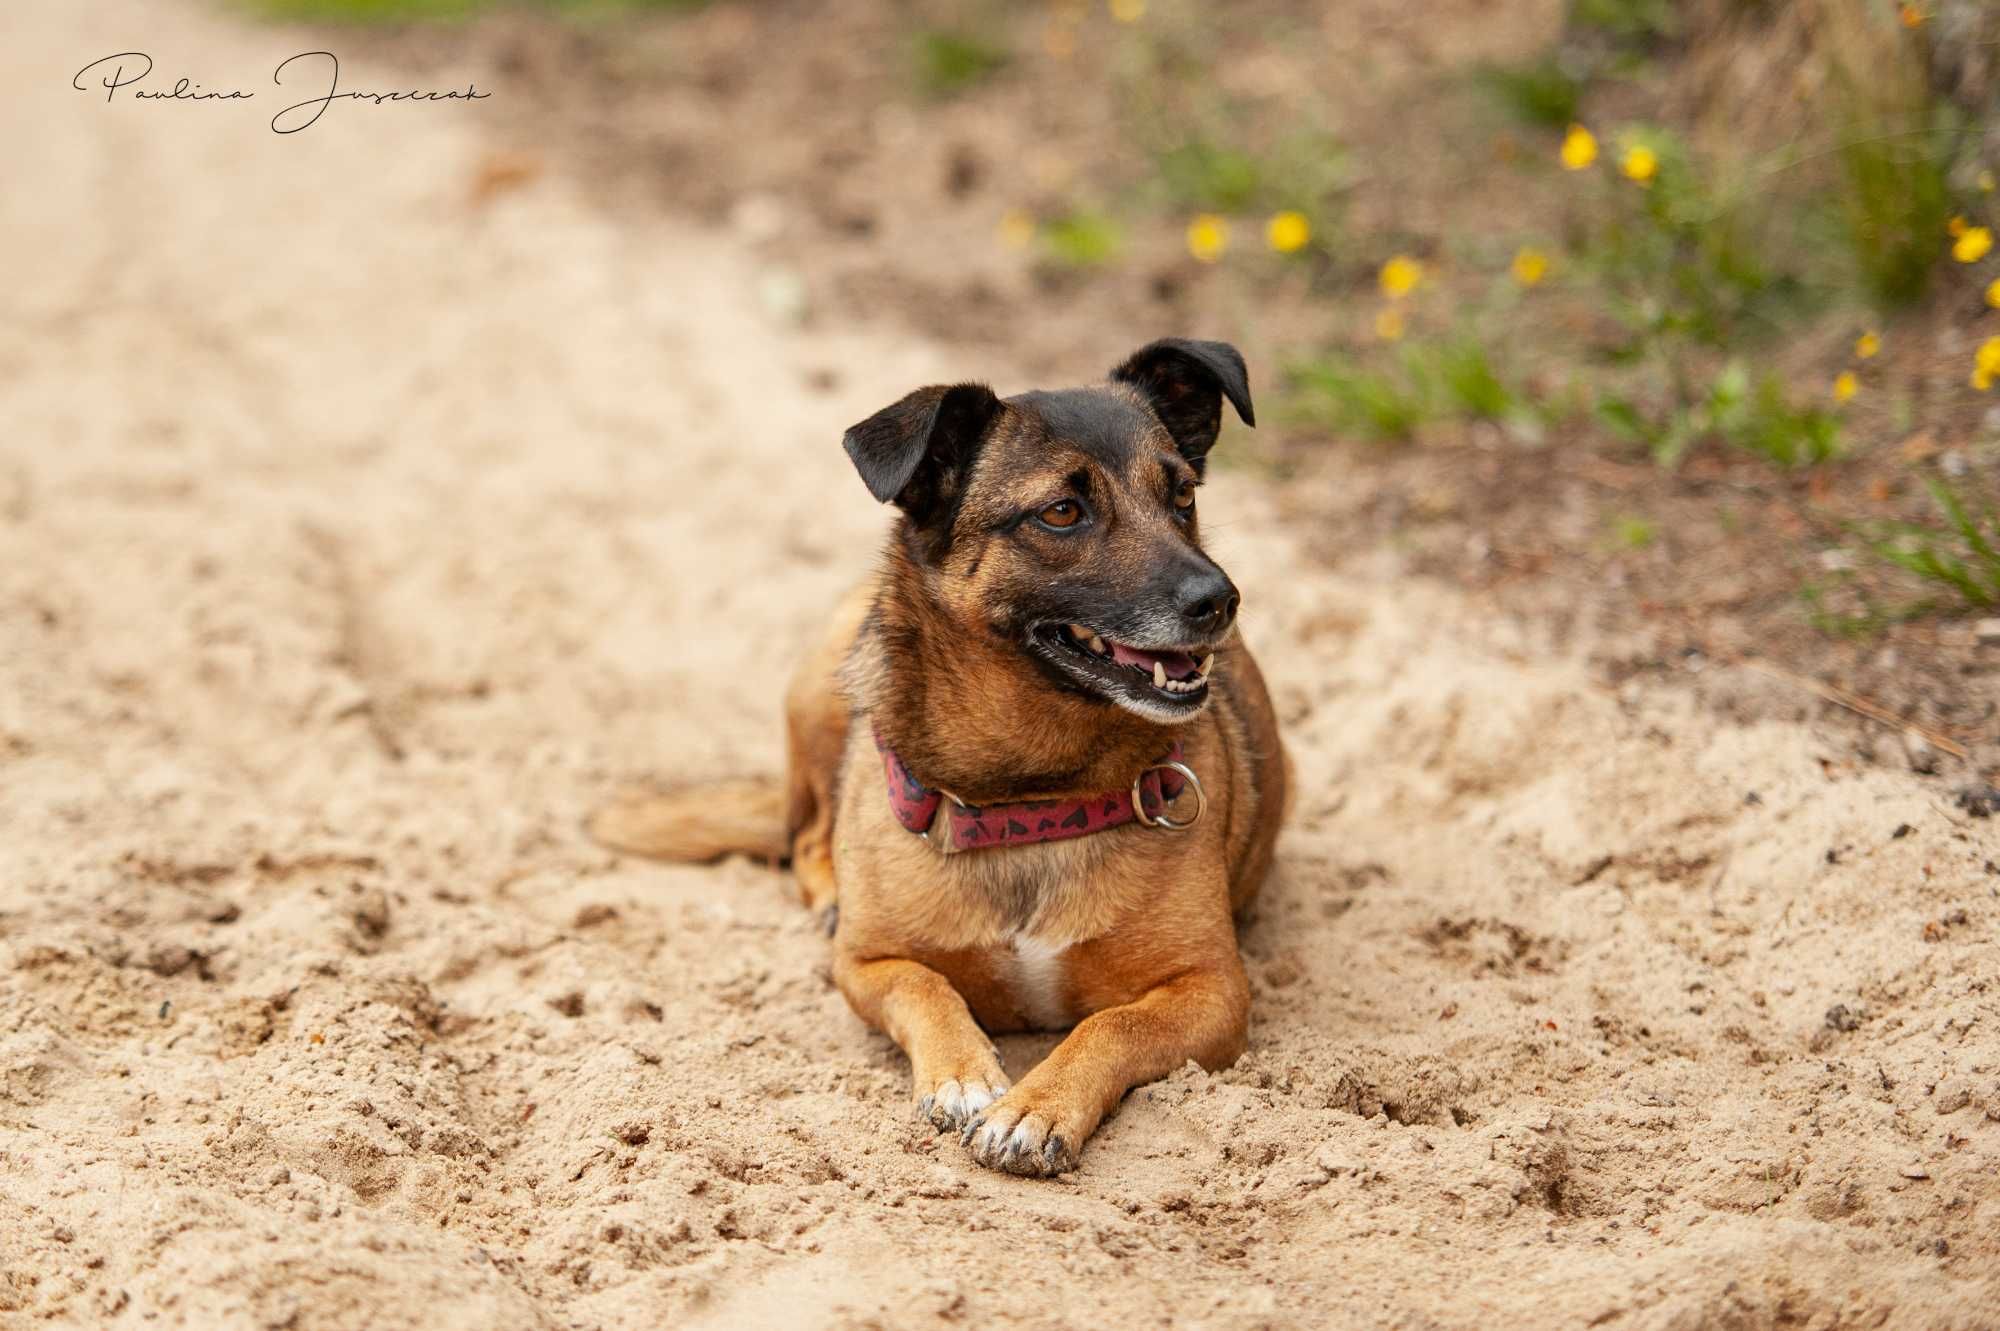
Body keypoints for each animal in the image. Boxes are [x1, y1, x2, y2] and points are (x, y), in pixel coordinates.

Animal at [584, 337, 1288, 1167]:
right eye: (1062, 512)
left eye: (1182, 495)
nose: (1220, 599)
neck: (1032, 798)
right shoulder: (866, 968)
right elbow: (926, 986)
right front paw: (963, 1074)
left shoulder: (1213, 990)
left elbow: (1111, 1022)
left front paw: (1035, 1105)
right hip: (831, 679)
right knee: (807, 829)